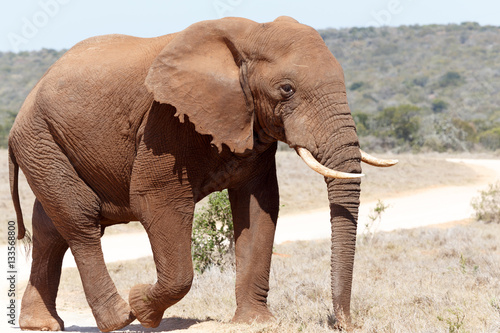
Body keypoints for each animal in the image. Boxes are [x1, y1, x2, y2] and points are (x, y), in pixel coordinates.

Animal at [8, 14, 394, 330]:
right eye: (287, 89)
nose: (342, 323)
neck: (251, 34)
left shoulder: (248, 122)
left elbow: (259, 205)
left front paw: (256, 322)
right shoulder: (164, 122)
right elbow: (156, 202)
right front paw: (142, 307)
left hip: (47, 146)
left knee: (50, 229)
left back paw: (41, 324)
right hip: (40, 140)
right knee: (80, 221)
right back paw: (118, 317)